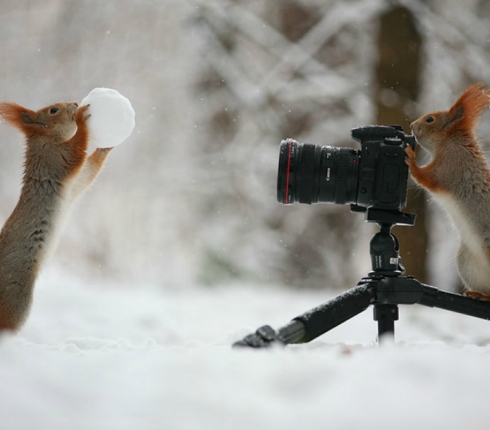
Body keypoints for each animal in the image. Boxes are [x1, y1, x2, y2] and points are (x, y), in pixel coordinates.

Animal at [0, 100, 111, 330]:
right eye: (53, 110)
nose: (75, 103)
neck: (46, 139)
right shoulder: (55, 159)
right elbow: (76, 150)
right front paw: (81, 120)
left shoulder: (73, 184)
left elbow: (88, 172)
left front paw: (105, 147)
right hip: (16, 297)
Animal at [408, 83, 490, 298]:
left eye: (430, 119)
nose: (411, 125)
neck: (448, 141)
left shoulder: (450, 167)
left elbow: (426, 178)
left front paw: (410, 159)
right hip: (466, 262)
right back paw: (479, 294)